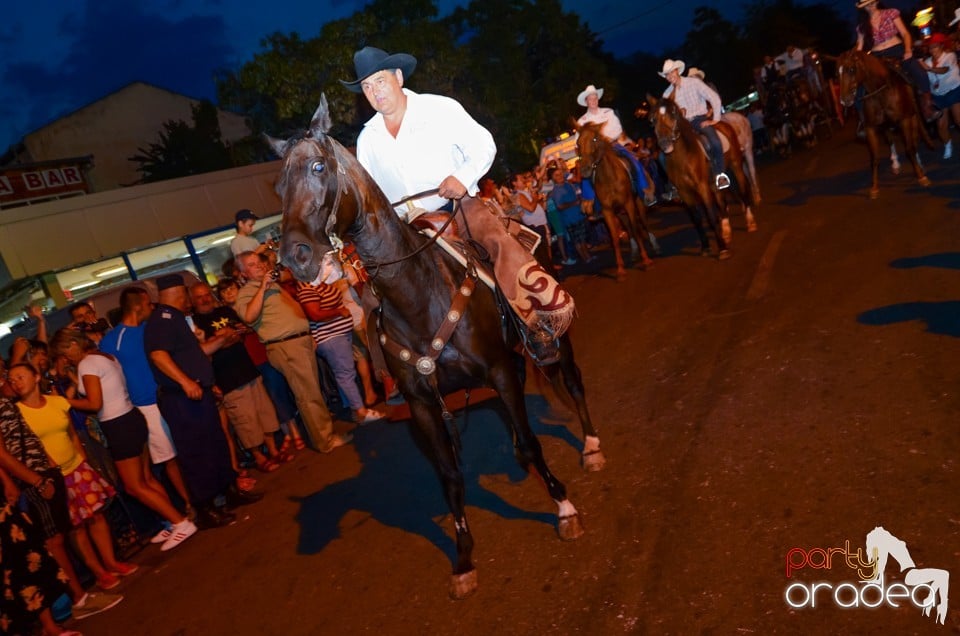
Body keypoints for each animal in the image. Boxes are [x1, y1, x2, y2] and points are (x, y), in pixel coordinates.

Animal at [270, 95, 600, 600]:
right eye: (278, 185)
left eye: (318, 166)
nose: (295, 258)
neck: (418, 294)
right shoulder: (423, 403)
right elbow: (449, 475)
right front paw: (463, 560)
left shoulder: (498, 370)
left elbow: (531, 438)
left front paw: (563, 508)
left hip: (553, 338)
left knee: (572, 382)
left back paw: (592, 446)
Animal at [576, 123, 660, 282]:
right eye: (578, 143)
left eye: (595, 139)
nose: (584, 169)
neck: (609, 179)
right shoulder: (608, 210)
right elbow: (614, 237)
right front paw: (620, 270)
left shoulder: (628, 203)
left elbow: (636, 229)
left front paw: (646, 261)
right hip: (619, 211)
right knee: (627, 226)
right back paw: (634, 252)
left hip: (638, 203)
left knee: (642, 223)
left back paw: (653, 244)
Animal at [644, 95, 756, 258]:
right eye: (652, 119)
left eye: (673, 113)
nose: (665, 144)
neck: (683, 158)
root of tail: (724, 124)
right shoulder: (685, 193)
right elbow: (696, 219)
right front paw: (706, 247)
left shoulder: (702, 187)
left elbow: (710, 215)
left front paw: (722, 248)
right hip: (715, 181)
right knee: (721, 201)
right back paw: (726, 231)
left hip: (736, 165)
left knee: (742, 189)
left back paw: (750, 222)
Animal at [832, 48, 928, 199]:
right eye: (837, 73)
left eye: (852, 69)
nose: (844, 100)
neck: (880, 90)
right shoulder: (870, 128)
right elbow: (875, 158)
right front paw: (874, 188)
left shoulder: (905, 120)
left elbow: (910, 149)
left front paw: (921, 177)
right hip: (886, 126)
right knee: (890, 140)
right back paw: (895, 164)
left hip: (912, 117)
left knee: (914, 139)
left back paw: (919, 164)